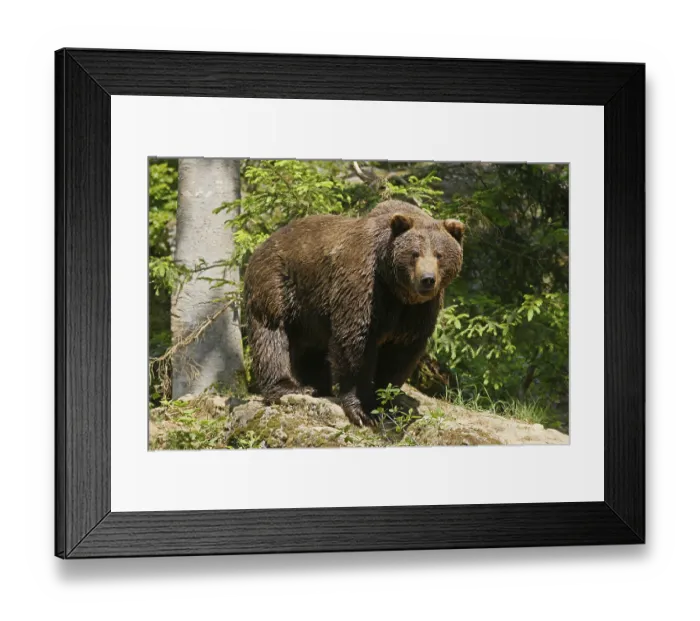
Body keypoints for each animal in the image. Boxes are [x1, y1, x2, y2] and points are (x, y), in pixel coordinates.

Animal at [244, 199, 464, 427]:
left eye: (439, 255)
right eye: (414, 253)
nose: (427, 279)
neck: (396, 290)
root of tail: (263, 243)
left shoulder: (418, 311)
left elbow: (401, 352)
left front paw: (386, 400)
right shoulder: (364, 286)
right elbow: (354, 342)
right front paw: (362, 409)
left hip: (311, 312)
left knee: (312, 348)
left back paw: (317, 386)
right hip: (278, 283)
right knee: (271, 333)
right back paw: (290, 387)